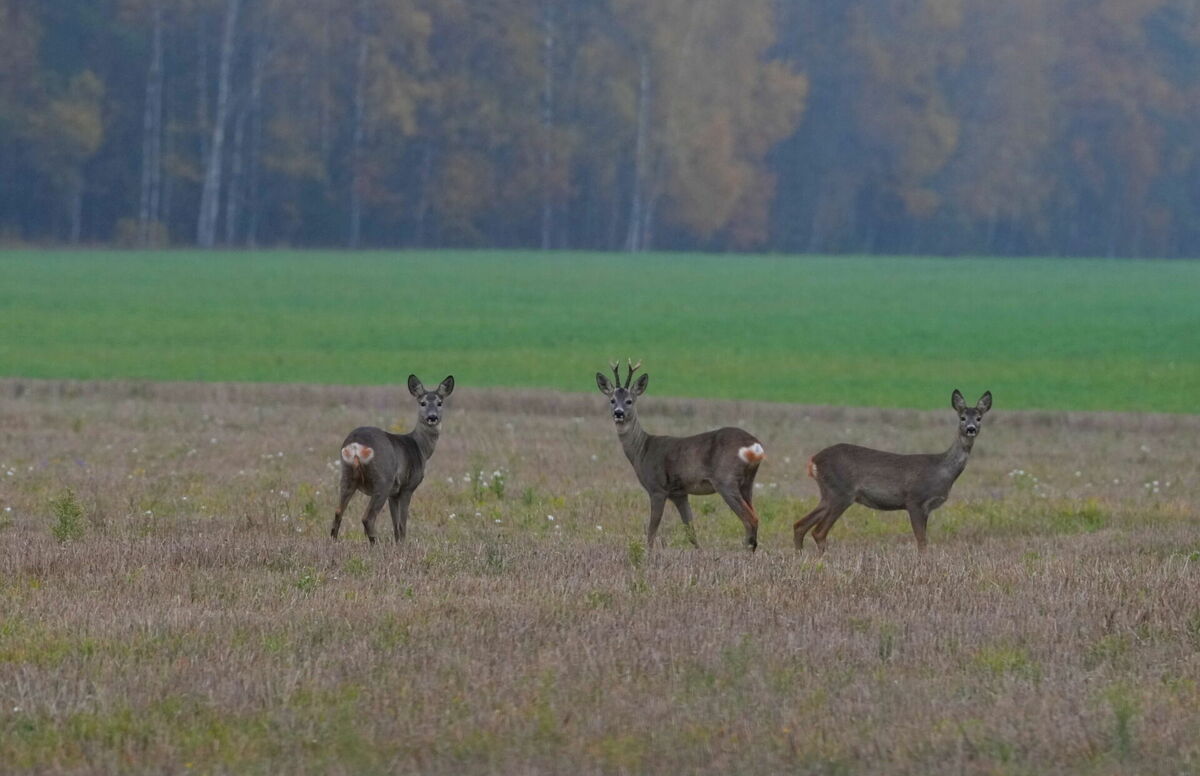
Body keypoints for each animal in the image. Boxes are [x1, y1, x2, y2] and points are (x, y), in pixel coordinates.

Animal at [333, 374, 453, 544]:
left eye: (439, 402)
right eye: (422, 403)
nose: (432, 417)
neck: (420, 448)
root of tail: (356, 445)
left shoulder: (393, 493)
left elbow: (395, 525)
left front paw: (397, 545)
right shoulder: (407, 487)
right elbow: (402, 525)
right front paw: (403, 546)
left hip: (347, 475)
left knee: (338, 512)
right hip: (383, 479)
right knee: (367, 517)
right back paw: (375, 545)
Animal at [592, 359, 768, 549]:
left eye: (629, 401)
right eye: (612, 400)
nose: (619, 413)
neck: (642, 450)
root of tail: (755, 445)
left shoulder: (657, 488)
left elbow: (652, 530)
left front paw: (648, 552)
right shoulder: (679, 493)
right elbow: (690, 531)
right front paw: (699, 552)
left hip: (726, 480)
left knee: (751, 519)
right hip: (747, 483)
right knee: (754, 517)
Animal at [796, 388, 993, 551]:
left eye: (979, 418)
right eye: (962, 417)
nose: (970, 429)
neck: (942, 470)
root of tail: (814, 460)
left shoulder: (926, 508)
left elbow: (923, 540)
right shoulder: (914, 500)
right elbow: (921, 541)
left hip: (828, 494)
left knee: (800, 525)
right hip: (841, 492)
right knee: (818, 532)